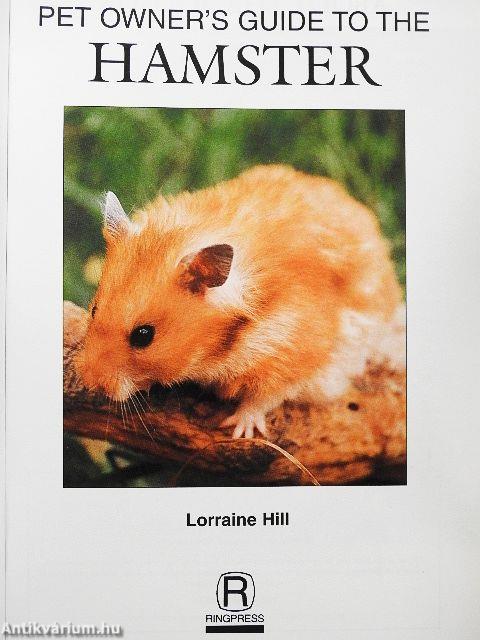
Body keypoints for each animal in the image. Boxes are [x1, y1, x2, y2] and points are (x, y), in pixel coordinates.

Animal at [76, 165, 404, 439]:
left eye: (144, 336)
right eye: (94, 310)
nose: (89, 382)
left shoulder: (292, 351)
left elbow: (265, 396)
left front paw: (237, 429)